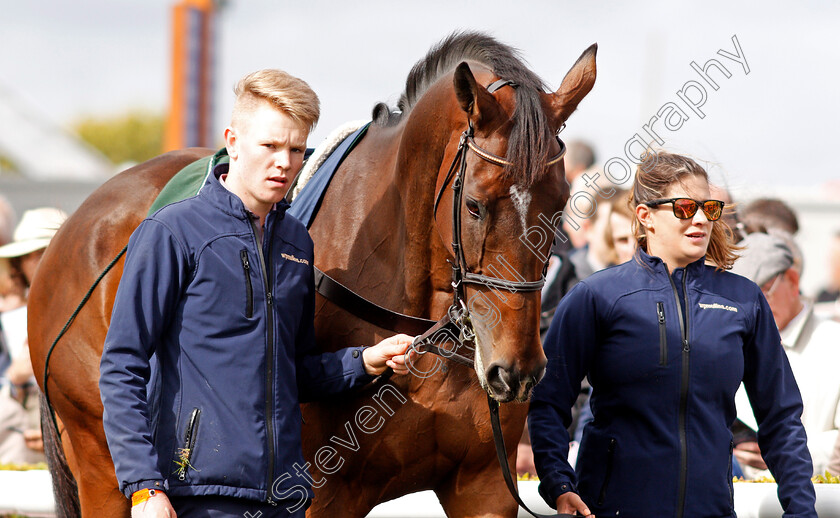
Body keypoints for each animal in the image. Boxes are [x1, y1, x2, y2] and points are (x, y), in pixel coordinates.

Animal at [27, 33, 596, 518]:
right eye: (475, 206)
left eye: (560, 204)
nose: (515, 371)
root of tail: (74, 225)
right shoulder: (323, 492)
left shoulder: (483, 487)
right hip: (100, 462)